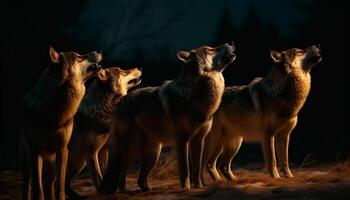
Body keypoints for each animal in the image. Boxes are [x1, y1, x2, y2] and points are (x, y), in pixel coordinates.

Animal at [20, 47, 102, 200]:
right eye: (78, 57)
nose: (98, 51)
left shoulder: (62, 149)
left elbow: (60, 186)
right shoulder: (35, 152)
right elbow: (37, 188)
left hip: (52, 164)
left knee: (49, 185)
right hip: (27, 161)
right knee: (27, 186)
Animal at [65, 66, 142, 198]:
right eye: (121, 71)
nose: (140, 68)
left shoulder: (104, 150)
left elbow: (106, 173)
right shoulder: (91, 152)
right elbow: (98, 178)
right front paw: (103, 192)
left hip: (78, 163)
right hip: (78, 162)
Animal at [100, 42, 237, 194]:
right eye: (210, 50)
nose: (231, 43)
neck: (196, 96)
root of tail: (122, 101)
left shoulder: (198, 140)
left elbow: (196, 170)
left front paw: (199, 187)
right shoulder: (182, 140)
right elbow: (185, 170)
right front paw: (186, 188)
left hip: (153, 154)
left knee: (140, 179)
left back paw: (147, 190)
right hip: (128, 150)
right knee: (121, 173)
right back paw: (124, 191)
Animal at [202, 44, 322, 183]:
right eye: (299, 51)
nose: (318, 45)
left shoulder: (284, 136)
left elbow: (285, 161)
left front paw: (289, 177)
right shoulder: (268, 135)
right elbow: (273, 161)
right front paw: (276, 178)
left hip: (233, 143)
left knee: (219, 165)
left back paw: (229, 181)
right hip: (216, 142)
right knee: (205, 164)